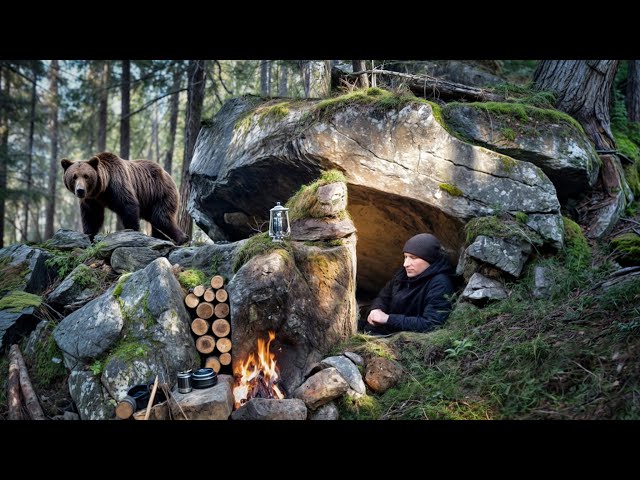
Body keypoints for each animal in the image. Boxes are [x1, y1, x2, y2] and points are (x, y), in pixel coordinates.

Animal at [61, 152, 189, 246]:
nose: (80, 190)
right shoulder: (92, 199)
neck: (102, 190)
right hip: (149, 202)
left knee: (161, 218)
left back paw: (182, 239)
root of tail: (168, 174)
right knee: (157, 221)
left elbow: (128, 205)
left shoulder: (117, 184)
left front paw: (134, 233)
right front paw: (89, 236)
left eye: (86, 176)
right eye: (74, 177)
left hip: (160, 193)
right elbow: (92, 216)